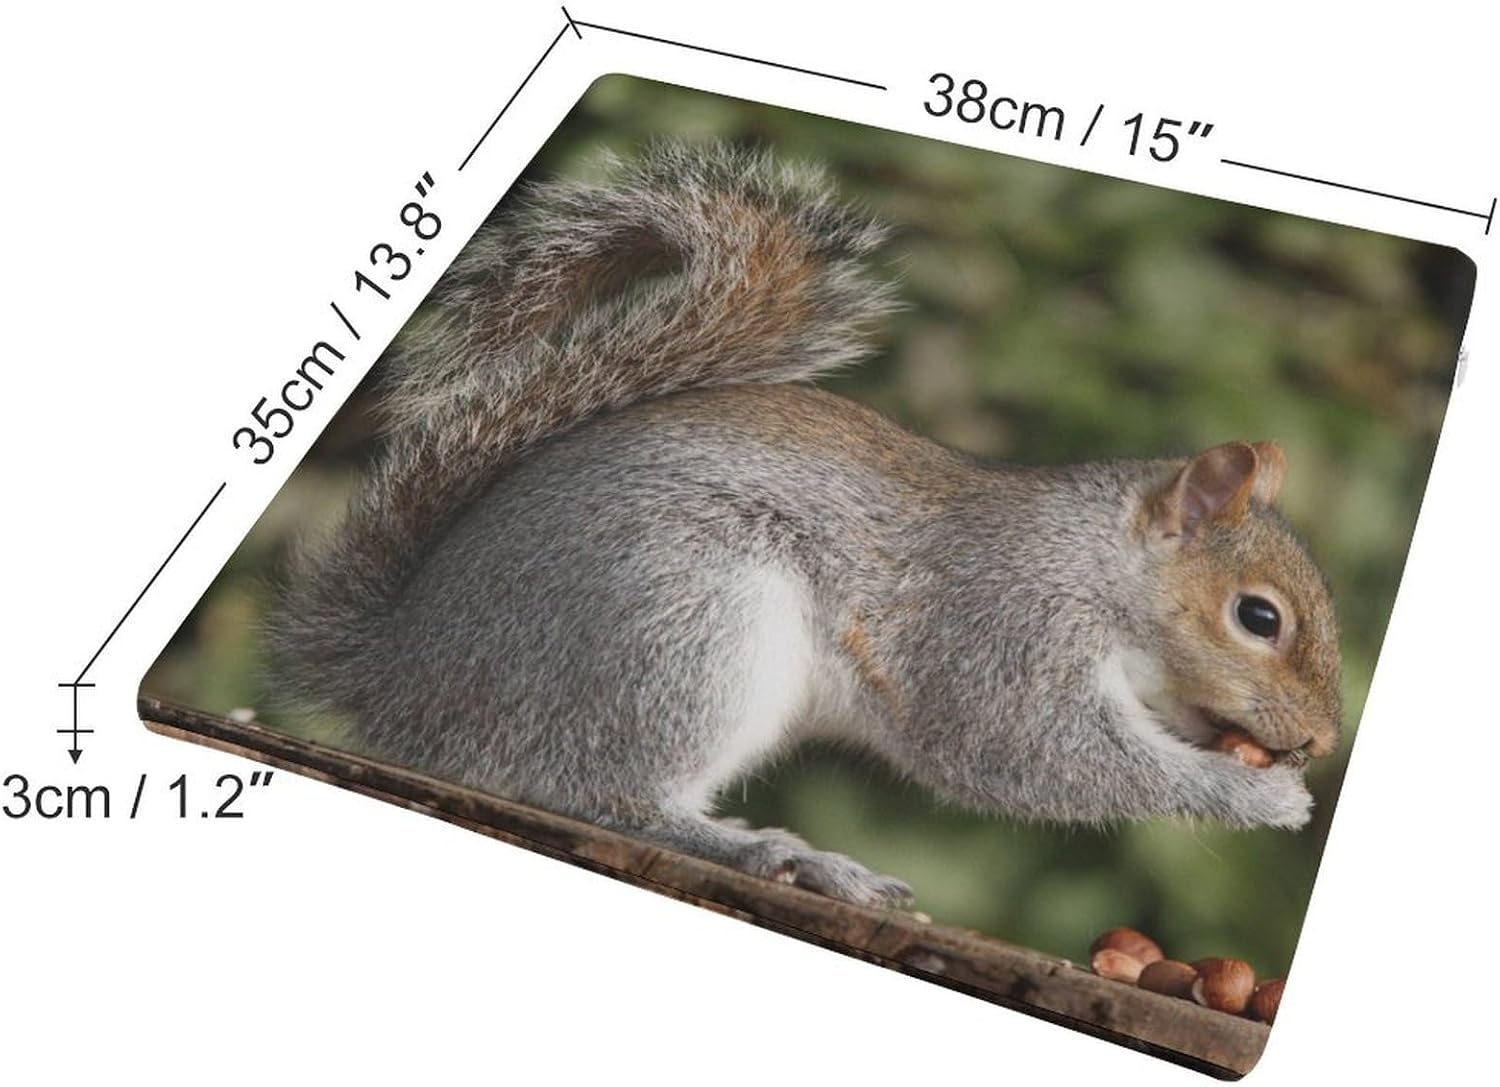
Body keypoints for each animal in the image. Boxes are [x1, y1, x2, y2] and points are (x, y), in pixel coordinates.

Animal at [267, 143, 1343, 908]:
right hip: (682, 623)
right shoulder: (1004, 631)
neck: (1094, 568)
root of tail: (403, 674)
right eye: (1258, 617)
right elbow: (1029, 751)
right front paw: (1258, 796)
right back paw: (780, 851)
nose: (1322, 743)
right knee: (595, 791)